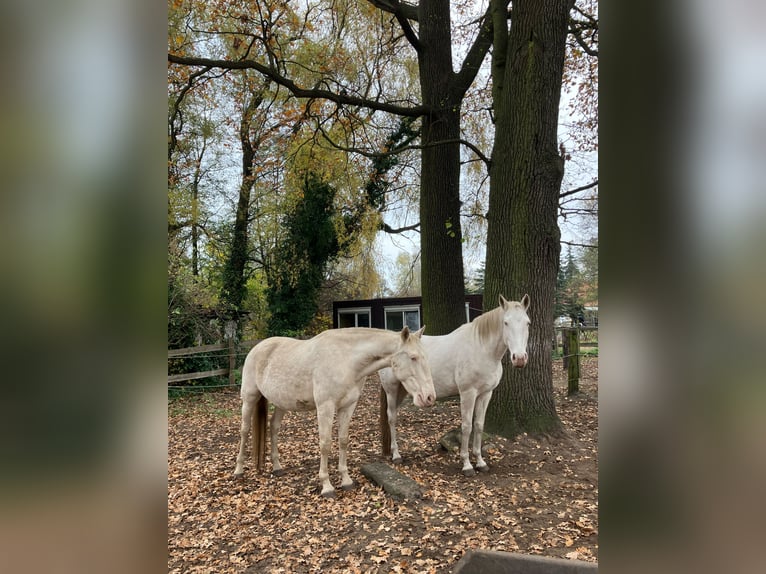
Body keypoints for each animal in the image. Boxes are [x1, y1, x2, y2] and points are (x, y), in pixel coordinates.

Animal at [233, 325, 436, 498]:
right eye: (413, 357)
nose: (429, 397)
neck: (346, 360)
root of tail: (257, 348)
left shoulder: (347, 407)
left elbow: (343, 441)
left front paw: (346, 481)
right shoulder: (326, 407)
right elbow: (325, 444)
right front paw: (327, 486)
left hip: (281, 403)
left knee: (274, 427)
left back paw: (277, 467)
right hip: (249, 398)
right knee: (244, 430)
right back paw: (239, 470)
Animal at [378, 294, 530, 476]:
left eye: (528, 323)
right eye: (506, 322)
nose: (519, 358)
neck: (481, 349)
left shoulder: (485, 394)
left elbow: (479, 426)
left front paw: (480, 462)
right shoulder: (468, 393)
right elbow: (466, 427)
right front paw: (467, 465)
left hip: (403, 390)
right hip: (392, 389)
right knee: (392, 418)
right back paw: (396, 455)